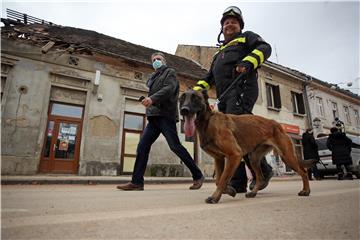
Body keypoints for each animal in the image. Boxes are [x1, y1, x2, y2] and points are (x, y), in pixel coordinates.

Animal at [179, 89, 310, 203]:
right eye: (182, 98)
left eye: (196, 98)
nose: (184, 110)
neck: (208, 122)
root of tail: (276, 123)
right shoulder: (219, 158)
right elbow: (218, 180)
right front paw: (230, 191)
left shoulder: (234, 155)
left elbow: (222, 179)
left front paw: (215, 197)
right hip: (253, 158)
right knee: (260, 178)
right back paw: (253, 192)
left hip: (286, 156)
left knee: (303, 171)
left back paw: (306, 191)